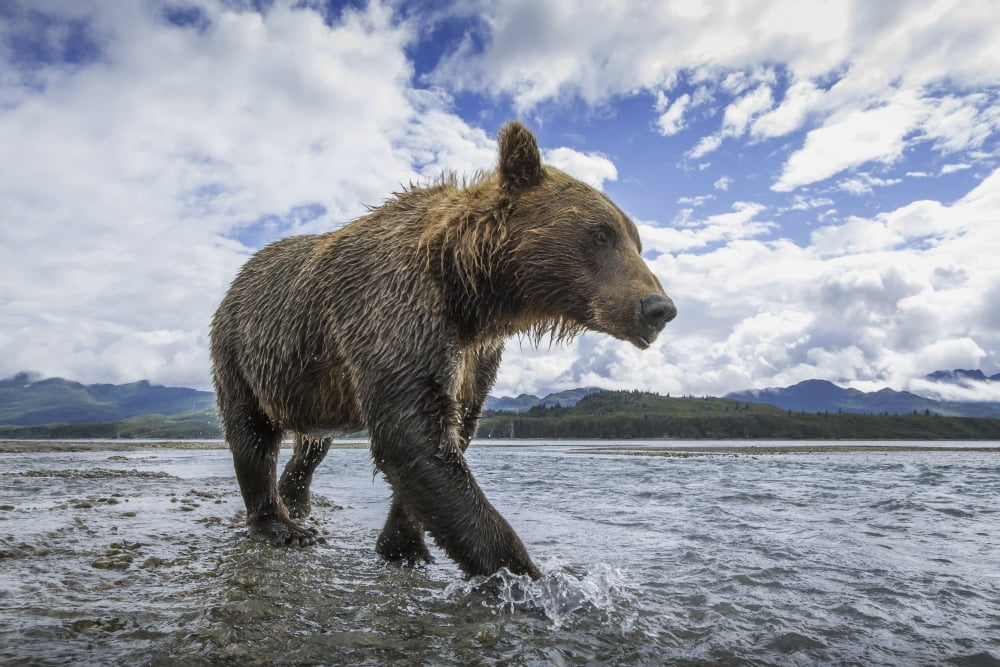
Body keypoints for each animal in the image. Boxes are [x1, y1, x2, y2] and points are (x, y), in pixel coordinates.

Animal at [210, 121, 676, 579]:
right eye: (601, 234)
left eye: (636, 242)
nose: (659, 308)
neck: (470, 290)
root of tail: (242, 273)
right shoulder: (395, 308)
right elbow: (411, 433)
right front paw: (527, 577)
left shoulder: (475, 355)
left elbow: (453, 428)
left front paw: (404, 545)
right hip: (240, 348)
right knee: (251, 433)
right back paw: (281, 525)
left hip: (308, 386)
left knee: (312, 442)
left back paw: (297, 499)